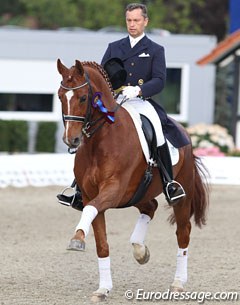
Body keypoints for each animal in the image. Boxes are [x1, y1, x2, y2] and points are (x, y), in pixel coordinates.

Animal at [57, 58, 209, 300]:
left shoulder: (113, 190)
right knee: (150, 207)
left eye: (82, 98)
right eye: (61, 96)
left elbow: (89, 210)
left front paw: (77, 239)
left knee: (183, 233)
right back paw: (139, 249)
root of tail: (184, 131)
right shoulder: (93, 195)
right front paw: (103, 288)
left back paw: (178, 283)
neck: (101, 141)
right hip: (138, 193)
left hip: (180, 196)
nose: (71, 139)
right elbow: (101, 242)